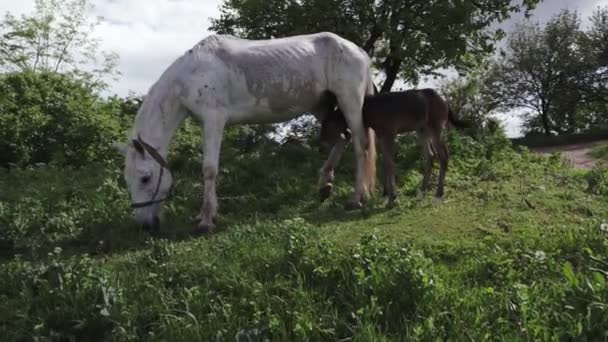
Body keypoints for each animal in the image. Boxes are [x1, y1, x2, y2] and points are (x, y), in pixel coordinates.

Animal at [114, 32, 376, 235]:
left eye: (145, 178)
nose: (144, 225)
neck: (192, 74)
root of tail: (360, 52)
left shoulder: (214, 120)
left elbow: (209, 170)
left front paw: (206, 221)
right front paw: (206, 215)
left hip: (349, 101)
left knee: (360, 145)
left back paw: (356, 198)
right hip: (322, 106)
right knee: (342, 139)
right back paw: (325, 186)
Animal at [320, 88, 468, 206]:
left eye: (328, 124)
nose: (321, 140)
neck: (371, 109)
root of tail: (444, 102)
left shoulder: (389, 135)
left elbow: (390, 164)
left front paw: (392, 198)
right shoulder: (382, 137)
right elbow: (385, 163)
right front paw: (387, 196)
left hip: (436, 129)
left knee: (443, 156)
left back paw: (438, 196)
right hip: (422, 131)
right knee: (430, 156)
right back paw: (421, 193)